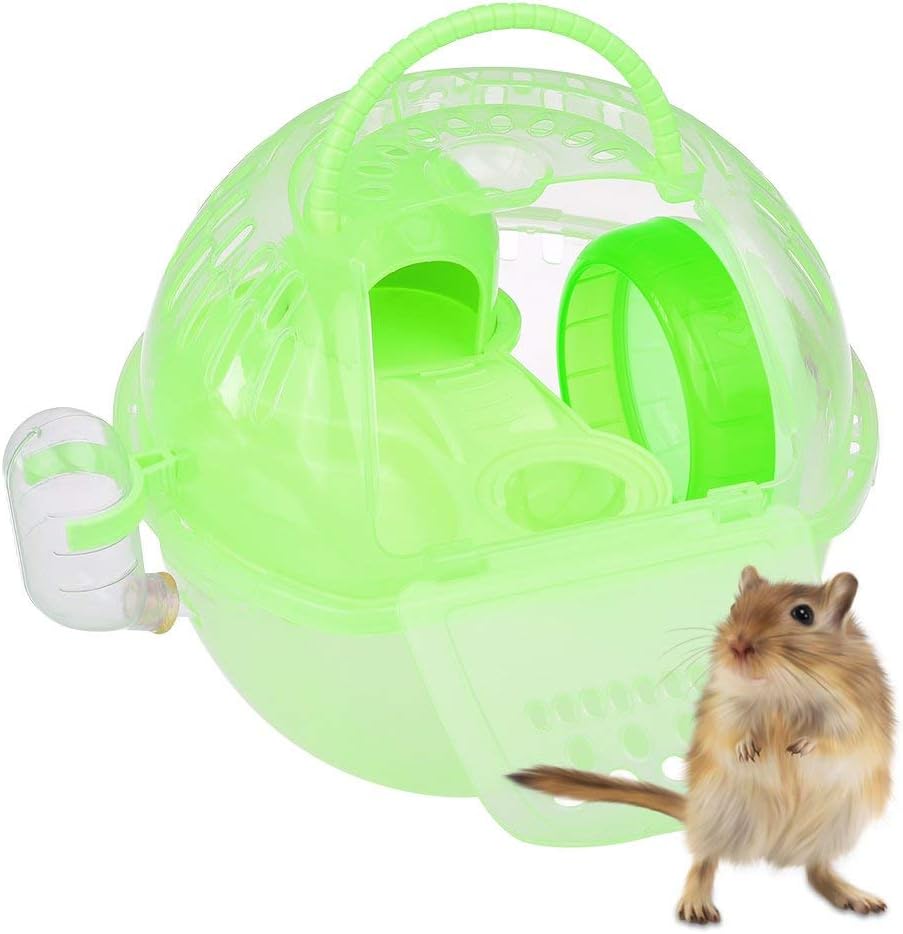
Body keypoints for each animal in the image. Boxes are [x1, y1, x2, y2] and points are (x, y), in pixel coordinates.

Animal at [510, 566, 894, 924]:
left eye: (803, 614)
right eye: (734, 606)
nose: (737, 645)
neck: (780, 689)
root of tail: (773, 848)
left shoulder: (854, 713)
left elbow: (836, 738)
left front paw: (798, 747)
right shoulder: (724, 707)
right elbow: (731, 733)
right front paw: (749, 751)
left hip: (832, 829)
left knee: (817, 870)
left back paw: (858, 897)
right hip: (718, 812)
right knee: (704, 860)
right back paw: (697, 905)